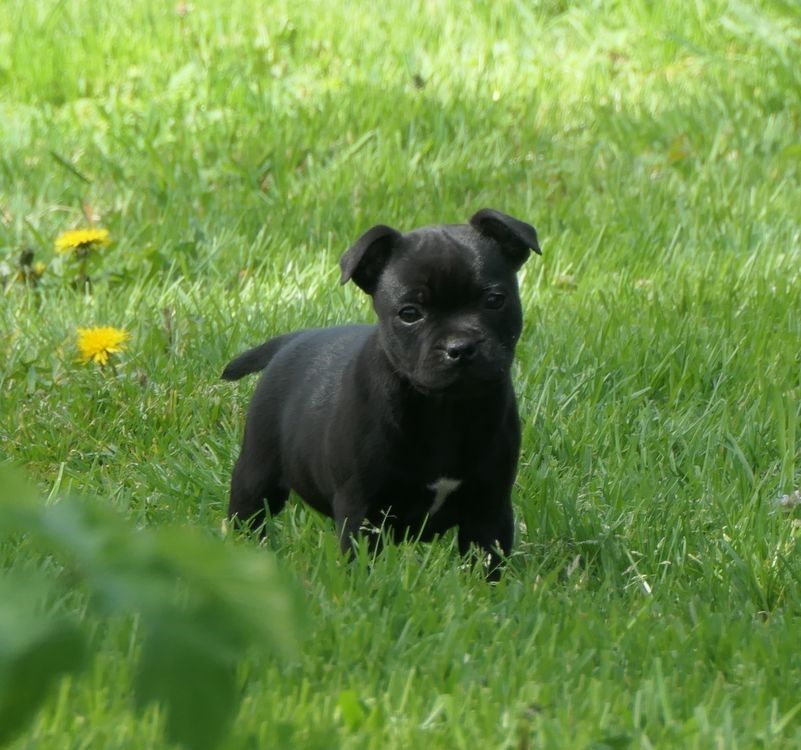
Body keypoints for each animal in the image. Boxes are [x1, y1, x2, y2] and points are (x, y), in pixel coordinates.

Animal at [223, 209, 540, 577]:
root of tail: (291, 341)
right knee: (249, 514)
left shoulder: (489, 507)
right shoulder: (363, 510)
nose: (460, 347)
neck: (445, 408)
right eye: (409, 314)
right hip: (257, 474)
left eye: (494, 301)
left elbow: (486, 562)